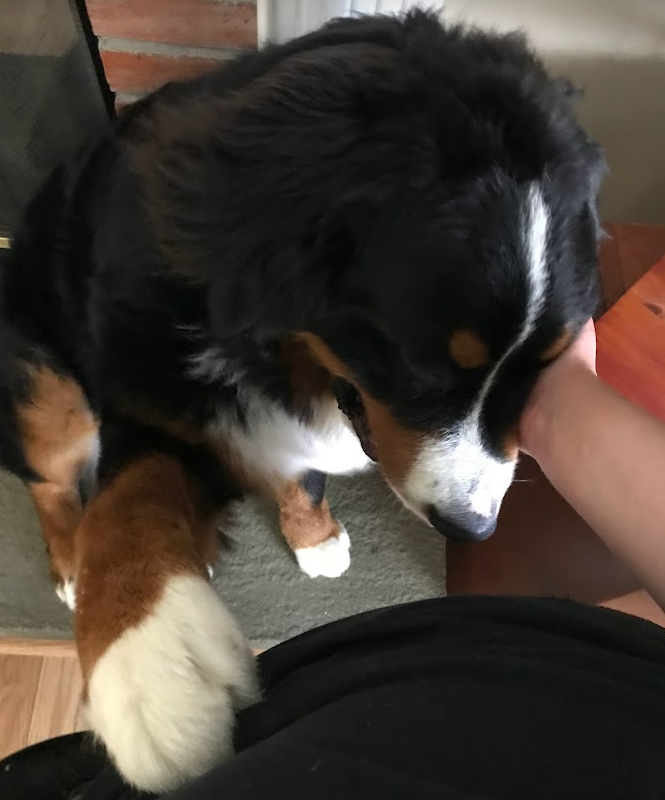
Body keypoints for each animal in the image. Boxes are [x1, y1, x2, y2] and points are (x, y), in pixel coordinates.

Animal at [0, 7, 600, 792]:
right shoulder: (147, 402)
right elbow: (129, 506)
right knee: (52, 478)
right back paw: (74, 567)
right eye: (421, 364)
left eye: (541, 370)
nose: (472, 529)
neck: (274, 357)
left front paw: (314, 539)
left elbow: (301, 479)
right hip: (47, 384)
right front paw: (152, 662)